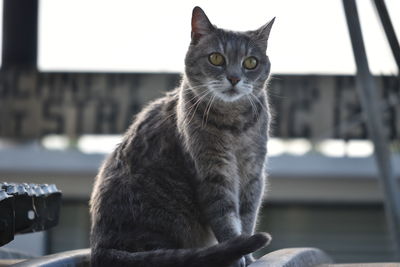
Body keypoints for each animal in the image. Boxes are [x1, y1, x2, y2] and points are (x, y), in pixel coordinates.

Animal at [89, 6, 274, 267]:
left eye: (251, 62)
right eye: (216, 58)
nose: (235, 78)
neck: (233, 125)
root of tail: (100, 248)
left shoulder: (253, 173)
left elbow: (247, 217)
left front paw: (247, 253)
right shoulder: (212, 173)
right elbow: (226, 218)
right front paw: (238, 254)